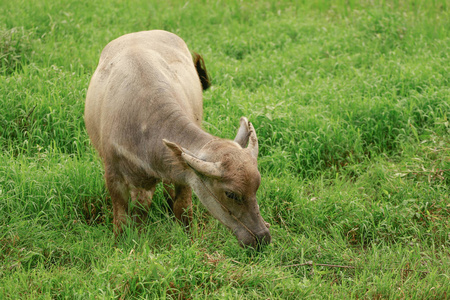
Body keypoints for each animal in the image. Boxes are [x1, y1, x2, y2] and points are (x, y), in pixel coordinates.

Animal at [84, 30, 270, 248]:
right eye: (231, 194)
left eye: (256, 187)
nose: (263, 237)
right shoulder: (114, 175)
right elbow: (123, 217)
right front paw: (121, 243)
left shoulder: (184, 175)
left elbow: (181, 209)